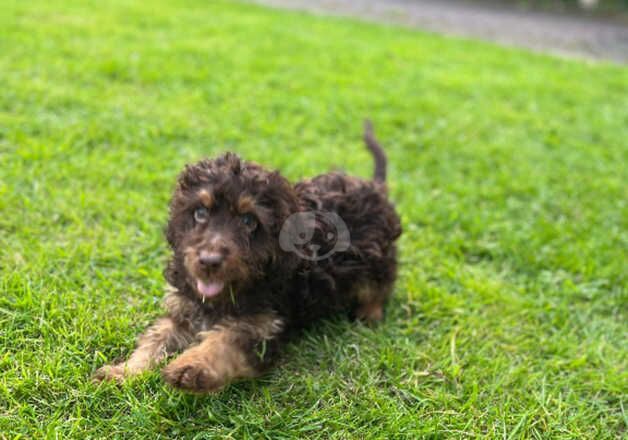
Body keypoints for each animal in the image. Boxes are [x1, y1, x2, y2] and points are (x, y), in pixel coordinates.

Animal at [96, 120, 404, 392]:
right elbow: (154, 340)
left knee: (381, 283)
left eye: (248, 221)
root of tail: (375, 187)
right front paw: (122, 372)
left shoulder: (263, 327)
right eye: (200, 213)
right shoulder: (182, 311)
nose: (209, 261)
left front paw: (192, 366)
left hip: (375, 256)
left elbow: (225, 342)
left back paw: (369, 313)